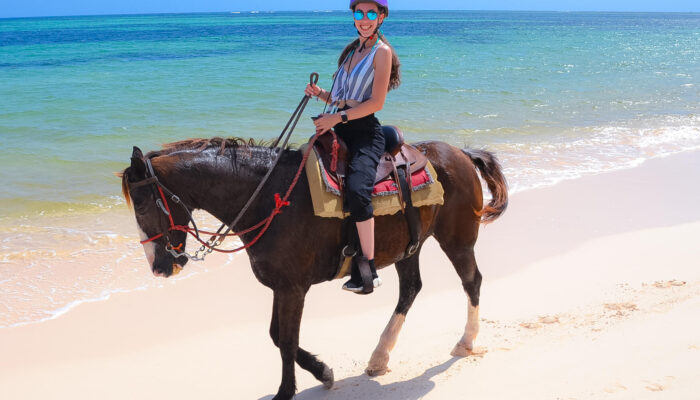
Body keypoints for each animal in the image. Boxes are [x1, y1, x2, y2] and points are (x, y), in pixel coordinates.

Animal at [120, 136, 508, 398]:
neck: (269, 198)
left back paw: (465, 342)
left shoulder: (294, 288)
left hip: (457, 240)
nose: (159, 267)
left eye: (142, 205)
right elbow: (277, 336)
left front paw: (287, 391)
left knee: (472, 281)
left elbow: (286, 340)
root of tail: (461, 153)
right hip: (408, 247)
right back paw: (379, 356)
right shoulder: (282, 285)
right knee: (411, 289)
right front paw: (323, 373)